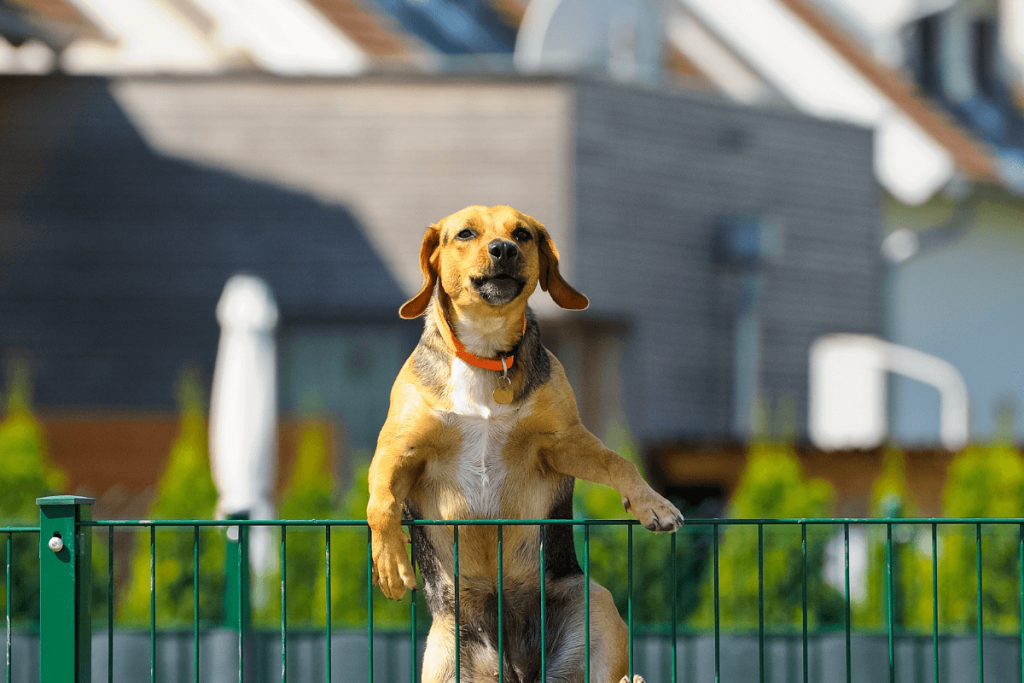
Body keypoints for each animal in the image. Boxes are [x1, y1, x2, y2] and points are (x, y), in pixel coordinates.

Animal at [364, 205, 684, 683]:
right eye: (466, 233)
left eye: (523, 234)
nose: (504, 249)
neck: (485, 352)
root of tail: (513, 667)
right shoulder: (397, 452)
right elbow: (381, 502)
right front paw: (389, 562)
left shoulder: (563, 442)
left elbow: (620, 463)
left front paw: (653, 505)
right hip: (442, 658)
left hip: (595, 607)